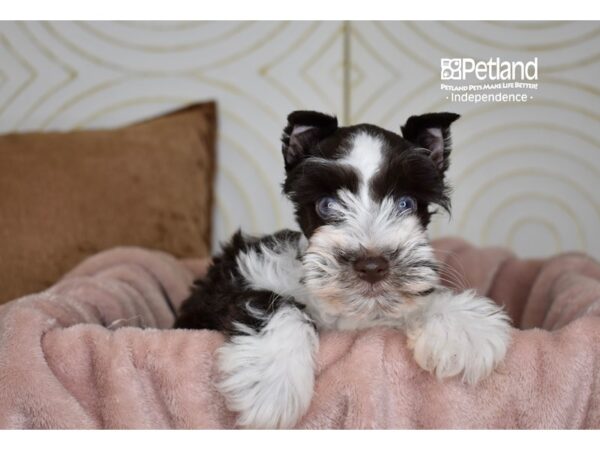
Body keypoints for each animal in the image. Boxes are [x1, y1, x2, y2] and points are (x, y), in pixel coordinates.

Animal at [175, 109, 510, 428]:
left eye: (405, 203)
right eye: (327, 205)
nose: (372, 265)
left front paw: (464, 327)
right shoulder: (232, 279)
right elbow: (272, 302)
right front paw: (272, 384)